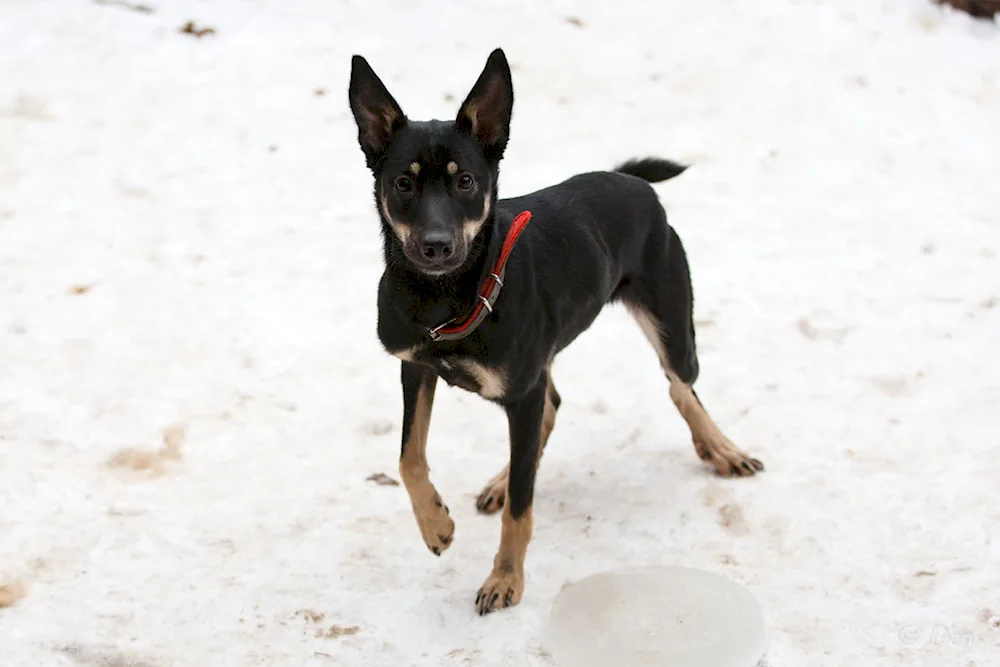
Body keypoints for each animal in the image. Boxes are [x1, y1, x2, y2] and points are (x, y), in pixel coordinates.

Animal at [348, 49, 760, 620]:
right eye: (403, 184)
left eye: (465, 182)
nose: (436, 245)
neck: (448, 296)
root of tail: (633, 183)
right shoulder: (416, 365)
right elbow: (409, 457)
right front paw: (437, 526)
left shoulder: (518, 390)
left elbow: (522, 507)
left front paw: (505, 578)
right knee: (552, 410)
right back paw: (501, 480)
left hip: (670, 319)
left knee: (680, 386)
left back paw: (721, 449)